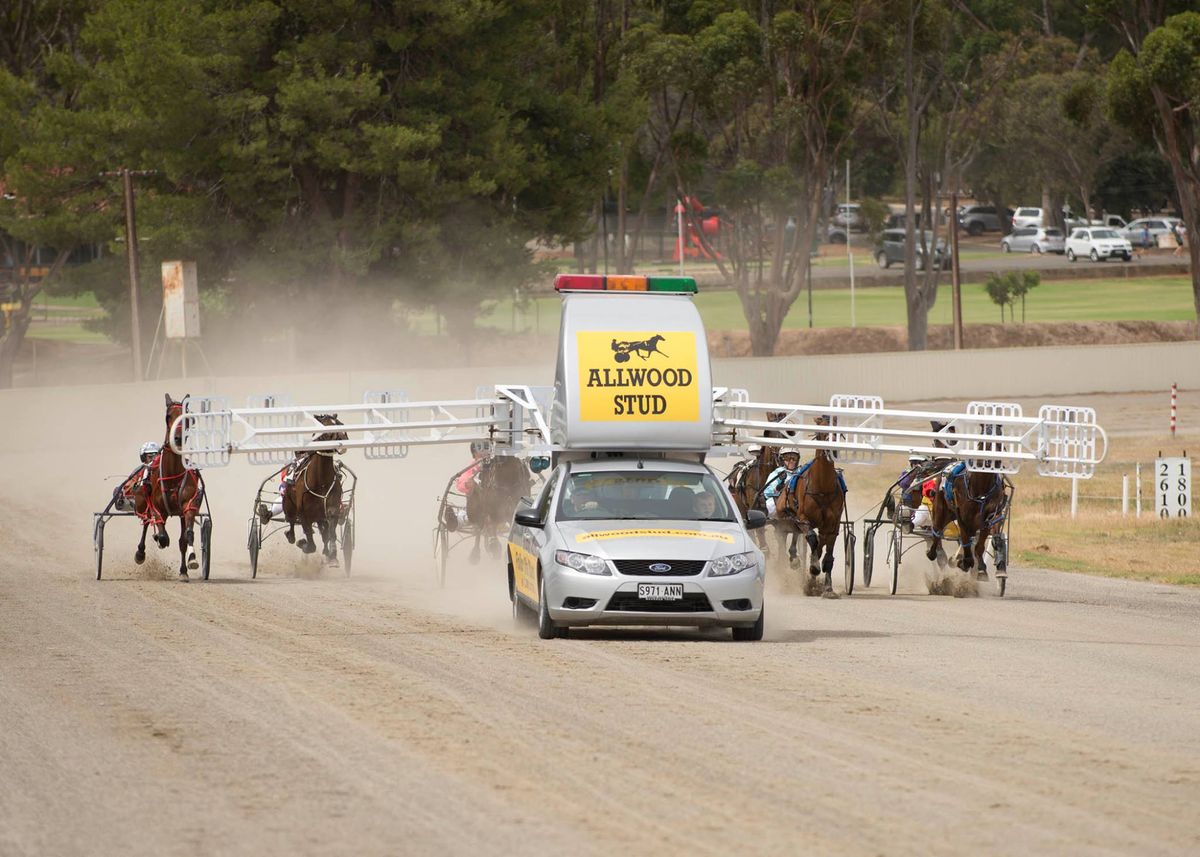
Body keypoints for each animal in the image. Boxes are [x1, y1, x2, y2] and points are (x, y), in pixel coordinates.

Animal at [135, 393, 205, 580]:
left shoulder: (188, 505)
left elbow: (186, 536)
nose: (177, 438)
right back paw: (141, 552)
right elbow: (162, 534)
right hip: (143, 502)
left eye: (187, 419)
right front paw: (159, 539)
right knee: (146, 523)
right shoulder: (157, 507)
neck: (173, 473)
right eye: (168, 416)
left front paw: (190, 562)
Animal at [283, 412, 350, 564]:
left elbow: (330, 532)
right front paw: (304, 544)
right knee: (291, 521)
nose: (343, 440)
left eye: (340, 424)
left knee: (324, 532)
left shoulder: (331, 508)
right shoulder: (303, 513)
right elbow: (310, 540)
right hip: (288, 504)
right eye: (326, 426)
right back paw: (291, 535)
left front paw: (332, 556)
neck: (320, 481)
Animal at [772, 412, 849, 595]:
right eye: (821, 432)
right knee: (786, 539)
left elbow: (826, 554)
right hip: (784, 520)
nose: (833, 451)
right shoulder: (804, 520)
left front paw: (827, 588)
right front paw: (813, 568)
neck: (822, 488)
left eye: (838, 431)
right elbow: (813, 541)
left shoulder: (832, 524)